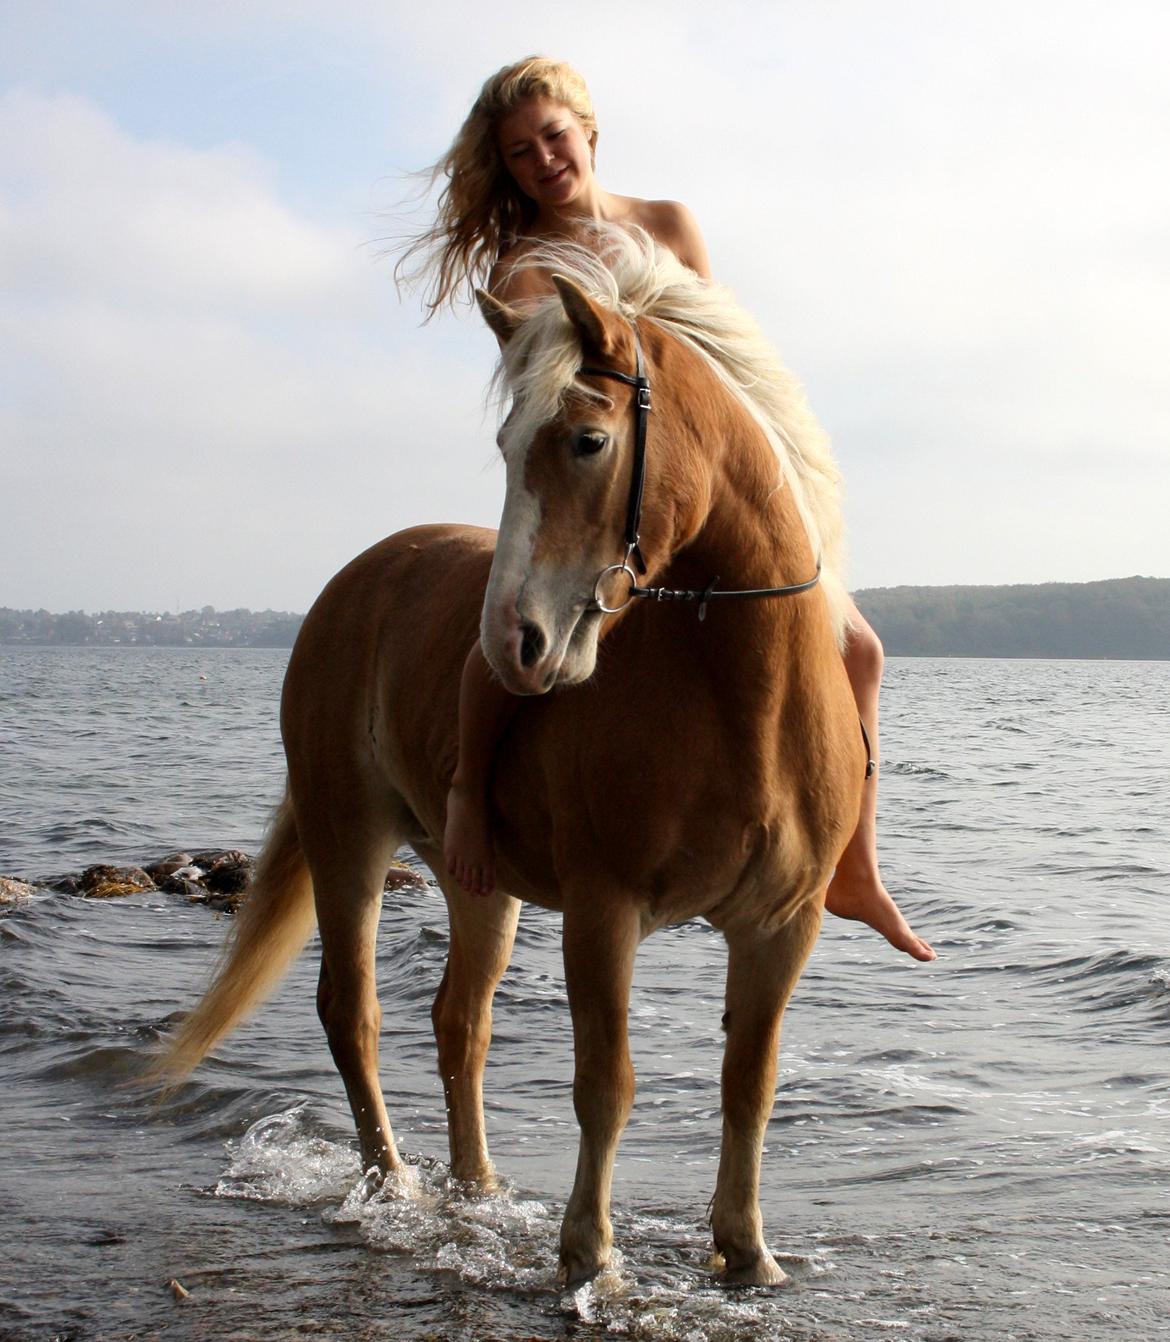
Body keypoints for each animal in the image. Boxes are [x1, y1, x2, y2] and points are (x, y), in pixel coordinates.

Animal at [155, 230, 864, 1288]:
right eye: (502, 446)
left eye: (587, 441)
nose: (511, 646)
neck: (745, 704)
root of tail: (353, 580)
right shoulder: (605, 911)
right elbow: (607, 1082)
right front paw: (588, 1253)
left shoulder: (782, 928)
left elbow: (751, 1082)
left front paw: (746, 1253)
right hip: (347, 836)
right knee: (351, 1012)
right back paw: (394, 1184)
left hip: (477, 884)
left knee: (460, 1021)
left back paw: (477, 1186)